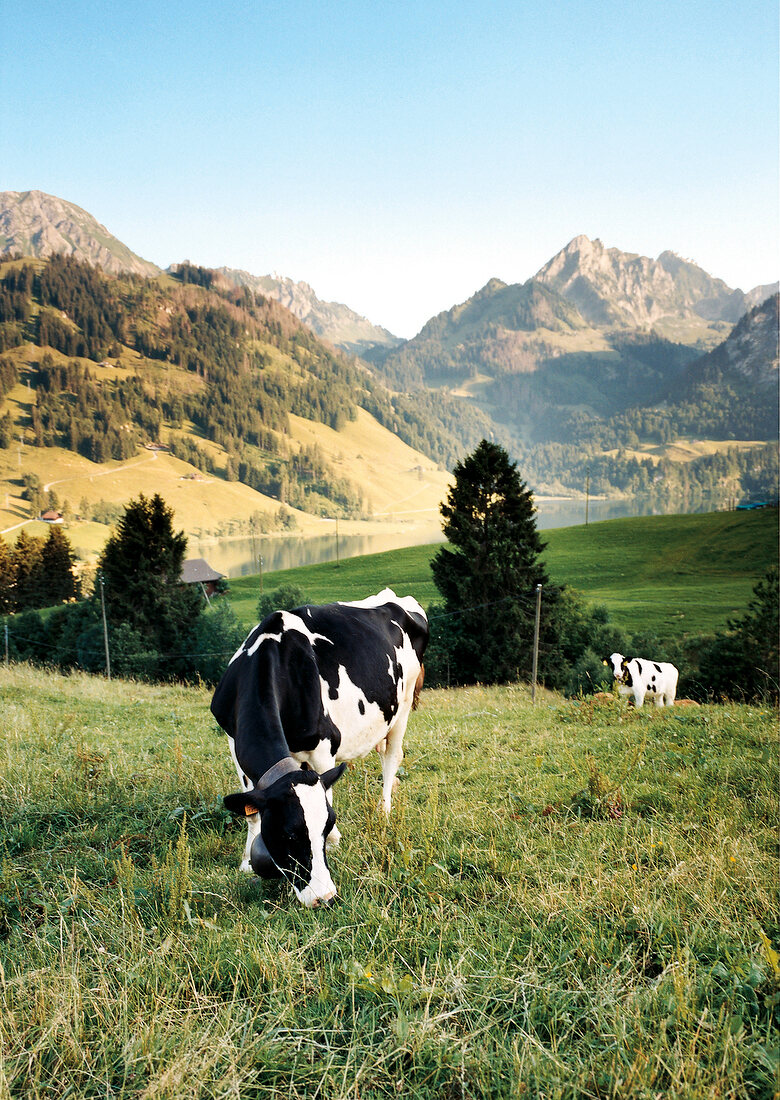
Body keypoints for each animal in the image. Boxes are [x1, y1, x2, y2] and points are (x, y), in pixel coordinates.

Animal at [211, 589, 426, 906]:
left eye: (324, 827)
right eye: (289, 835)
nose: (324, 897)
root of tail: (394, 596)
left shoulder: (325, 746)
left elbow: (328, 792)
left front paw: (336, 843)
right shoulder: (234, 742)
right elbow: (252, 813)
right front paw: (246, 861)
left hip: (403, 704)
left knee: (391, 757)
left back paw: (384, 810)